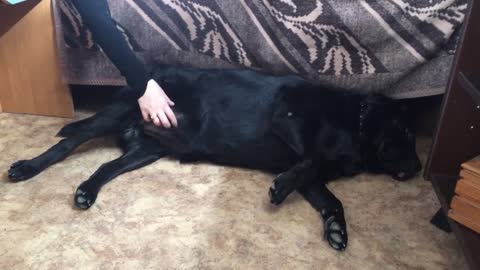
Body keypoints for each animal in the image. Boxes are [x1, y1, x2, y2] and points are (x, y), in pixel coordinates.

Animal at [6, 65, 420, 251]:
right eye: (405, 133)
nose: (419, 169)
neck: (355, 121)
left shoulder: (316, 182)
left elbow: (331, 198)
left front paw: (336, 228)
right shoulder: (288, 119)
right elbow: (313, 159)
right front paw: (283, 185)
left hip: (147, 150)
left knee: (106, 166)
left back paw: (87, 191)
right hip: (116, 115)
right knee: (67, 143)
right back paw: (27, 167)